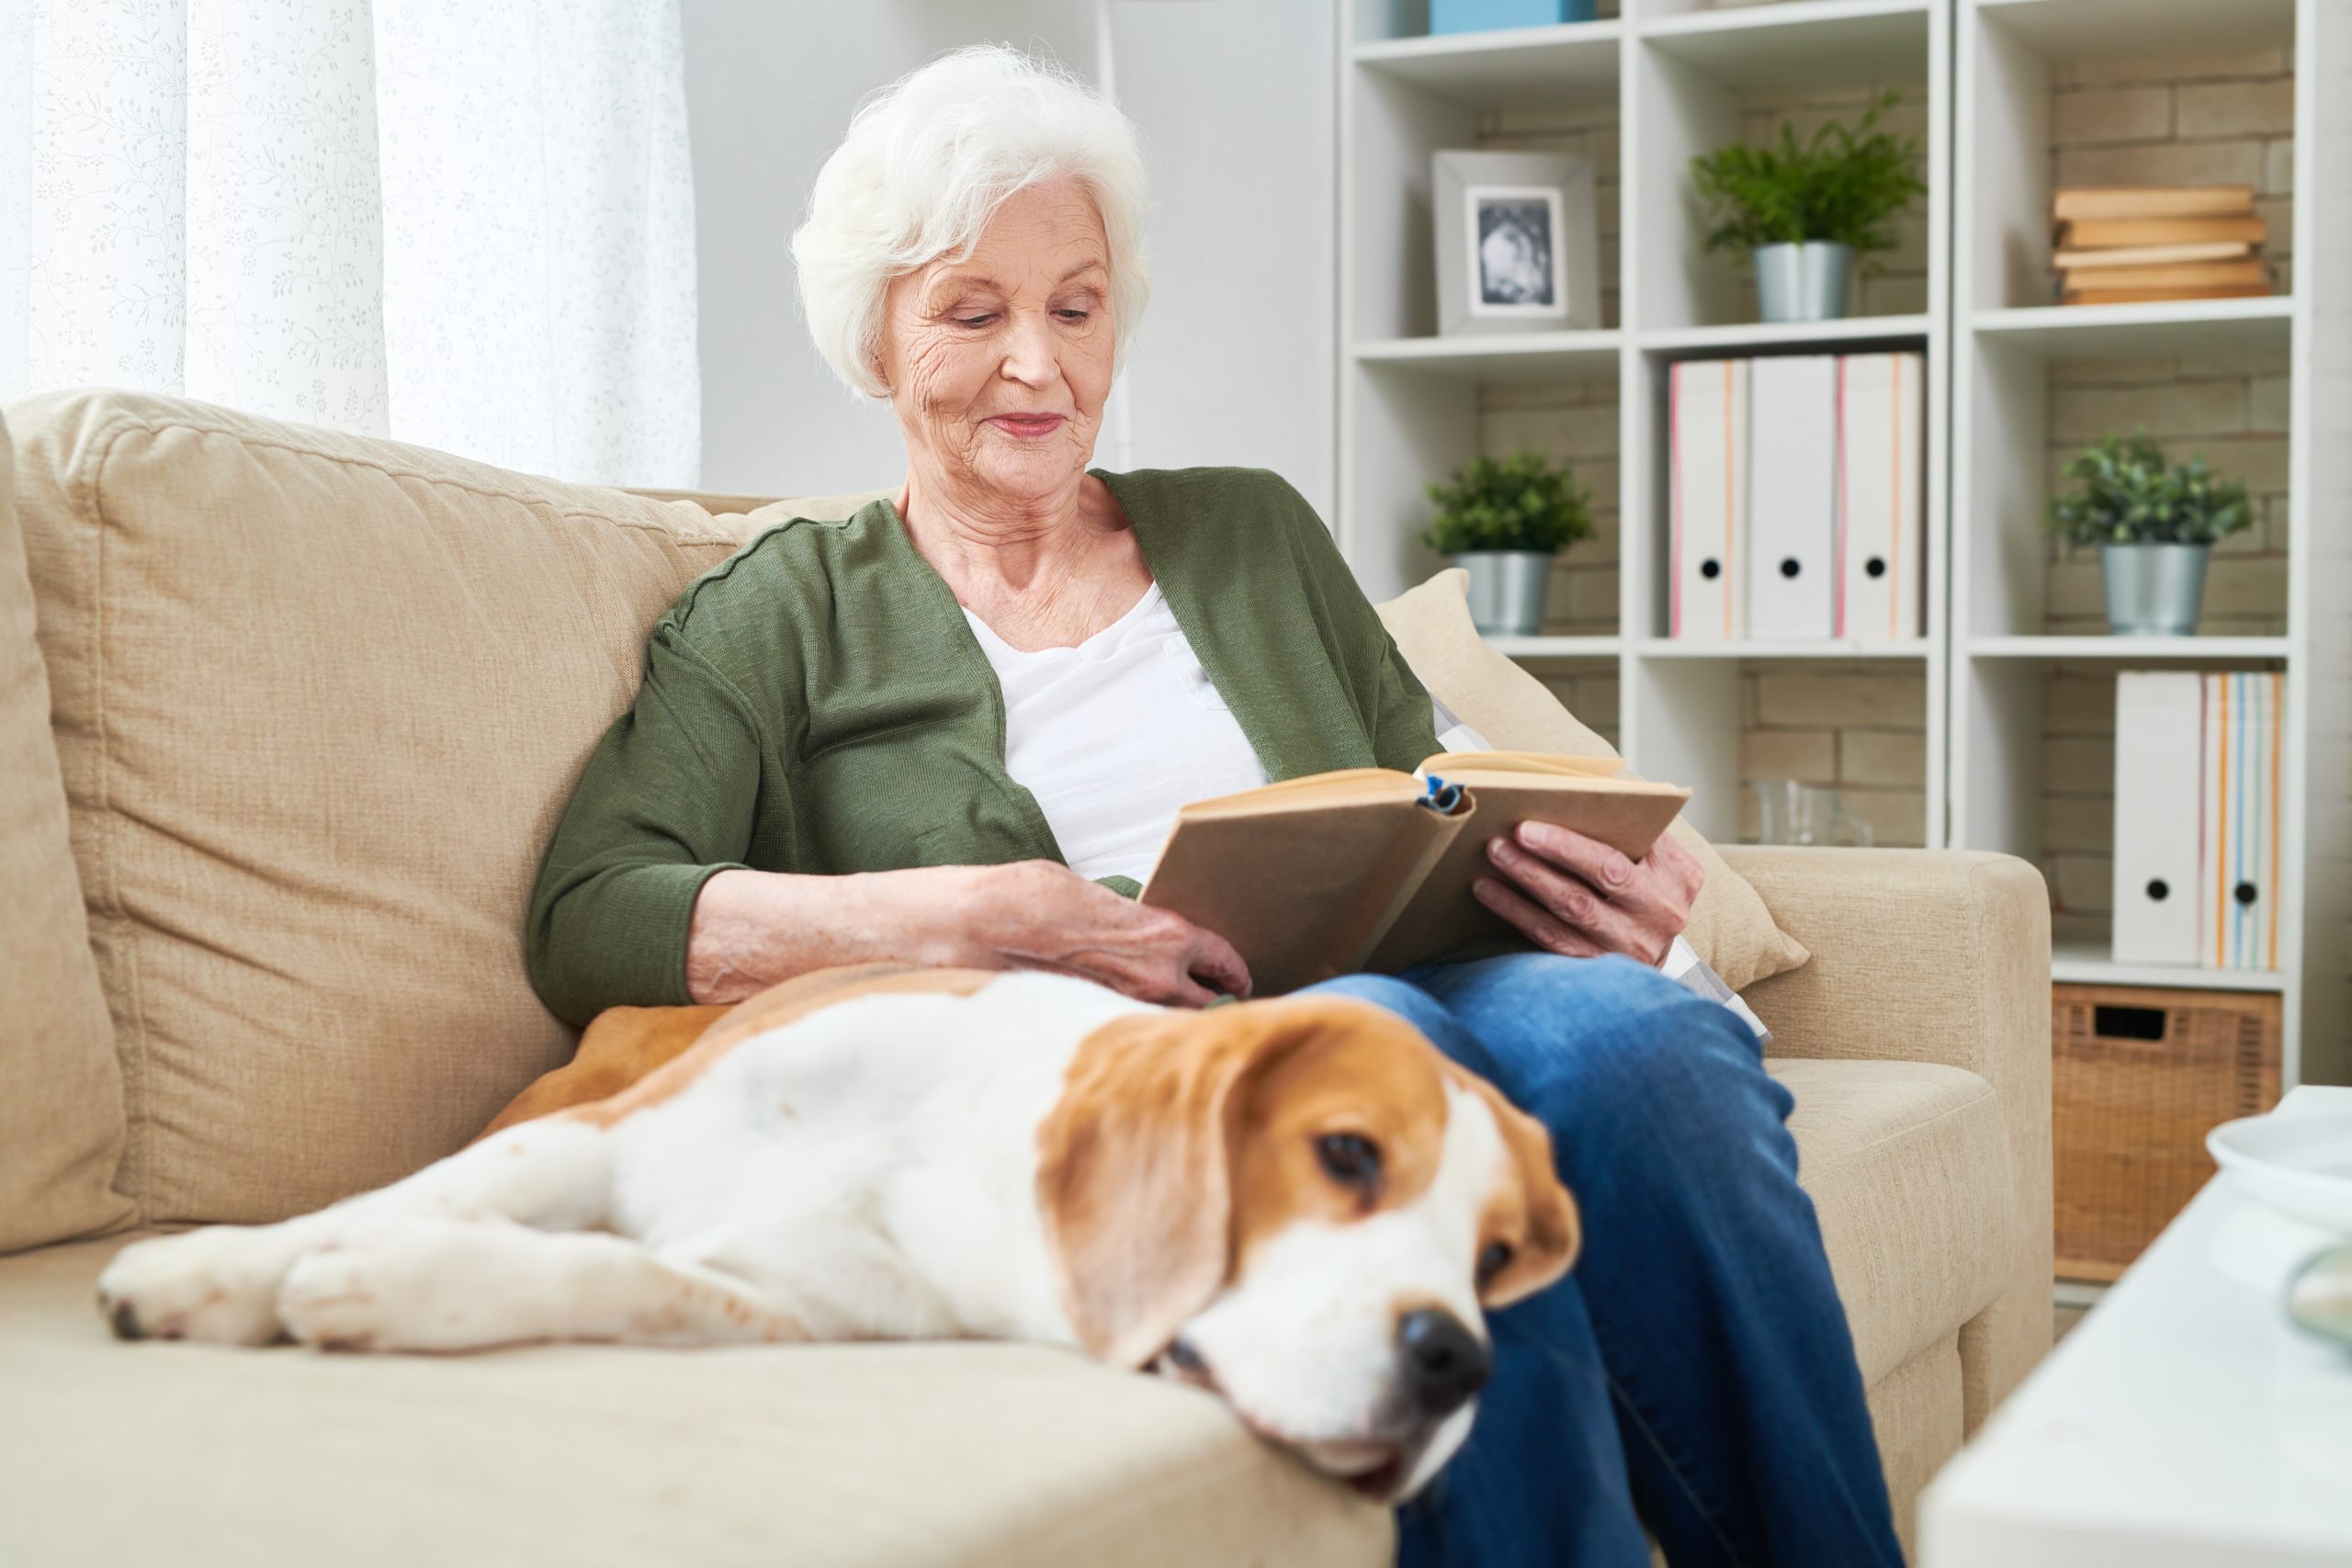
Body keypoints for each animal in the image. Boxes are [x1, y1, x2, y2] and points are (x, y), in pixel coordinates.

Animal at [96, 964, 1580, 1504]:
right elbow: (384, 1199)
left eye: (1493, 1261)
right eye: (1347, 1154)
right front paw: (213, 1265)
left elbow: (603, 1270)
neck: (965, 1167)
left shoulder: (787, 1303)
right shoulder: (599, 1141)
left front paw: (398, 1284)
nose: (1458, 1362)